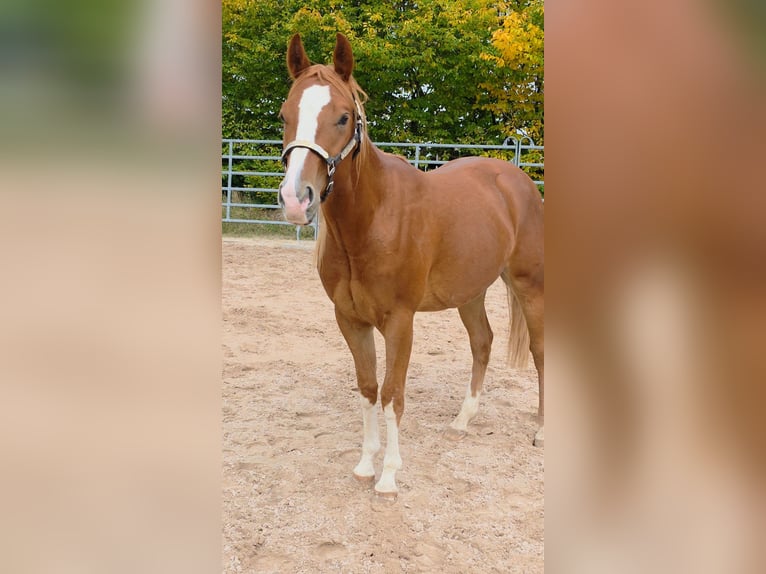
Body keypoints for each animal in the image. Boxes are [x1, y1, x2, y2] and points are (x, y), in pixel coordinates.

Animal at [277, 33, 544, 498]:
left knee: (541, 349)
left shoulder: (400, 321)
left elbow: (392, 393)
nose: (296, 198)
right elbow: (368, 388)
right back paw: (462, 421)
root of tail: (517, 179)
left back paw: (544, 431)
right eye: (284, 116)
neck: (372, 219)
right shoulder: (350, 320)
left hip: (530, 285)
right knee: (483, 342)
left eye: (344, 117)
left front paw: (388, 476)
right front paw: (365, 464)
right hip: (471, 292)